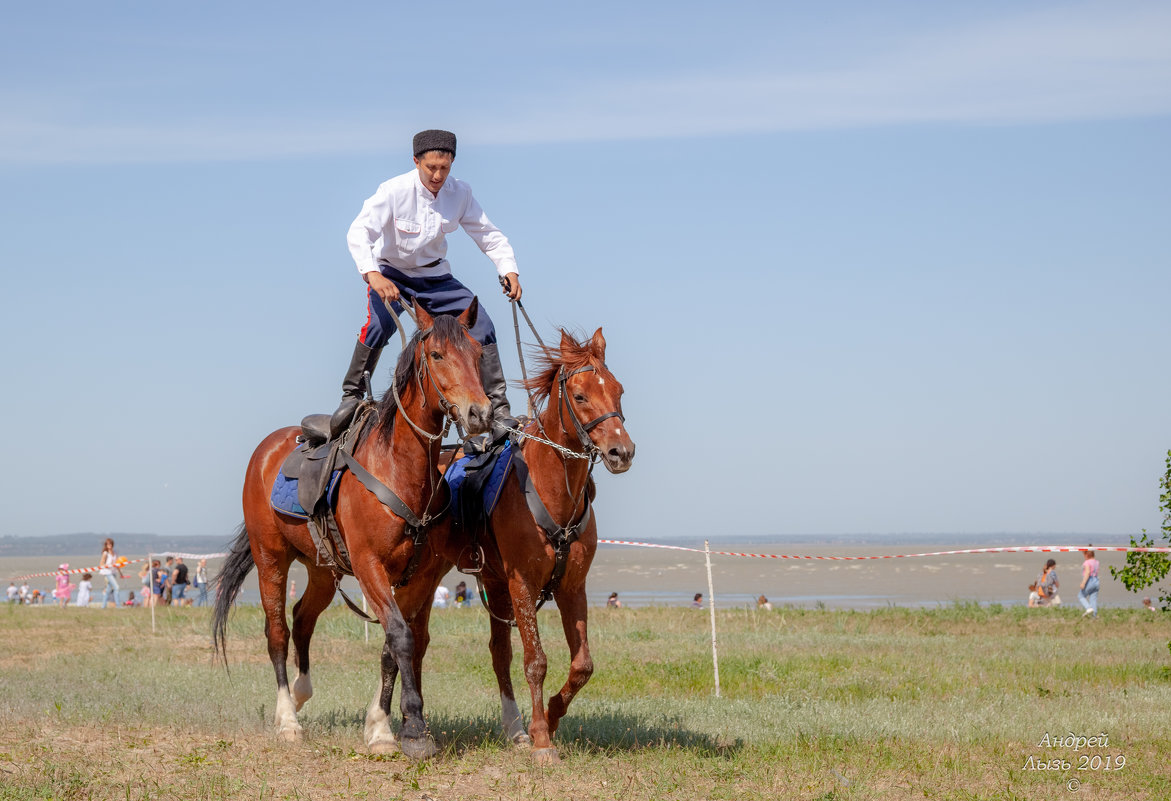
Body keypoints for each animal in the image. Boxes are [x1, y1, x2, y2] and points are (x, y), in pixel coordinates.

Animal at [214, 299, 489, 758]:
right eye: (437, 355)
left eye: (479, 354)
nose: (480, 413)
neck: (397, 468)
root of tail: (266, 449)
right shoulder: (369, 566)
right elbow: (401, 638)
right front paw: (412, 729)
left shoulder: (418, 576)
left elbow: (394, 647)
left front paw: (381, 726)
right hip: (271, 557)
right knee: (278, 632)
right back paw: (287, 719)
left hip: (322, 570)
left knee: (302, 619)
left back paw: (302, 693)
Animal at [393, 327, 632, 763]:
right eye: (580, 396)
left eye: (619, 390)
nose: (622, 452)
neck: (549, 487)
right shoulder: (523, 585)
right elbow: (535, 660)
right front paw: (542, 739)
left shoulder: (572, 588)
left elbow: (582, 665)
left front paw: (551, 715)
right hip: (430, 578)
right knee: (416, 643)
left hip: (490, 584)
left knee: (494, 652)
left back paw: (512, 727)